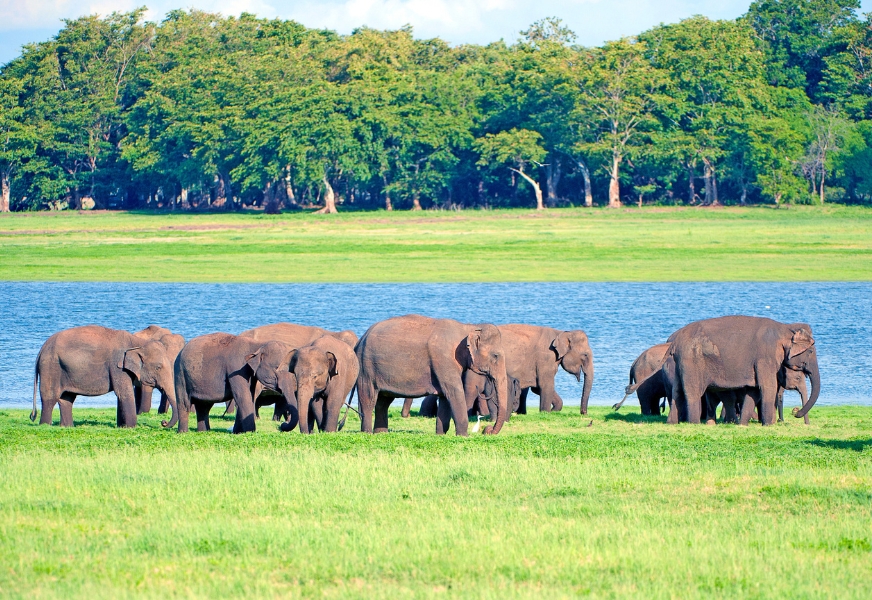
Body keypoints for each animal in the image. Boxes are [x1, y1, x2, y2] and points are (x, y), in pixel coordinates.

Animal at [31, 325, 177, 428]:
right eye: (158, 367)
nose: (163, 422)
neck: (137, 341)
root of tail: (41, 349)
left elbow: (121, 395)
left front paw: (122, 427)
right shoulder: (117, 366)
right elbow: (124, 393)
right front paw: (131, 427)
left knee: (67, 399)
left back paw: (67, 427)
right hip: (51, 368)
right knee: (50, 398)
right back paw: (45, 425)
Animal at [355, 315, 509, 436]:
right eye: (496, 356)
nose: (487, 430)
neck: (467, 327)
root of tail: (361, 338)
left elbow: (445, 396)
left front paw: (441, 434)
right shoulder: (444, 359)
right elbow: (454, 392)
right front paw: (464, 436)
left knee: (383, 401)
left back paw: (381, 433)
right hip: (365, 368)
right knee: (369, 399)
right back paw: (367, 433)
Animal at [462, 324, 594, 415]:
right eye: (585, 355)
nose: (583, 413)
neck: (560, 333)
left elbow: (537, 388)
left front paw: (554, 410)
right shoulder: (546, 357)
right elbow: (545, 385)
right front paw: (546, 412)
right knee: (471, 391)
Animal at [659, 316, 820, 425]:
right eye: (811, 351)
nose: (795, 412)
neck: (785, 328)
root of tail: (674, 343)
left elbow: (754, 390)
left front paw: (743, 425)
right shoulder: (766, 356)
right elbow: (768, 387)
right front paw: (769, 425)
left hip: (680, 364)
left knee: (677, 392)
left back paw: (672, 423)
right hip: (692, 360)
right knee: (693, 392)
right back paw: (695, 423)